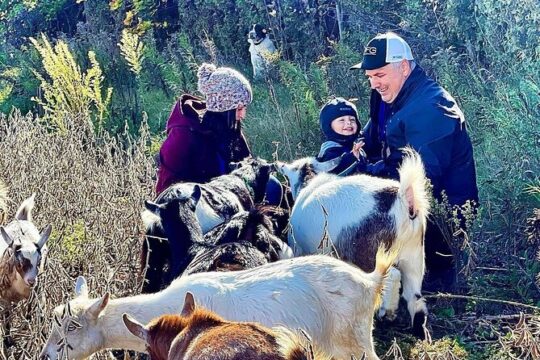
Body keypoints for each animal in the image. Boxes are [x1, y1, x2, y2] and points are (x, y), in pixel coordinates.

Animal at [278, 149, 430, 338]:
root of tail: (403, 200)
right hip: (414, 257)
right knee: (414, 296)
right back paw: (419, 329)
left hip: (372, 255)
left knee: (393, 276)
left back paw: (386, 312)